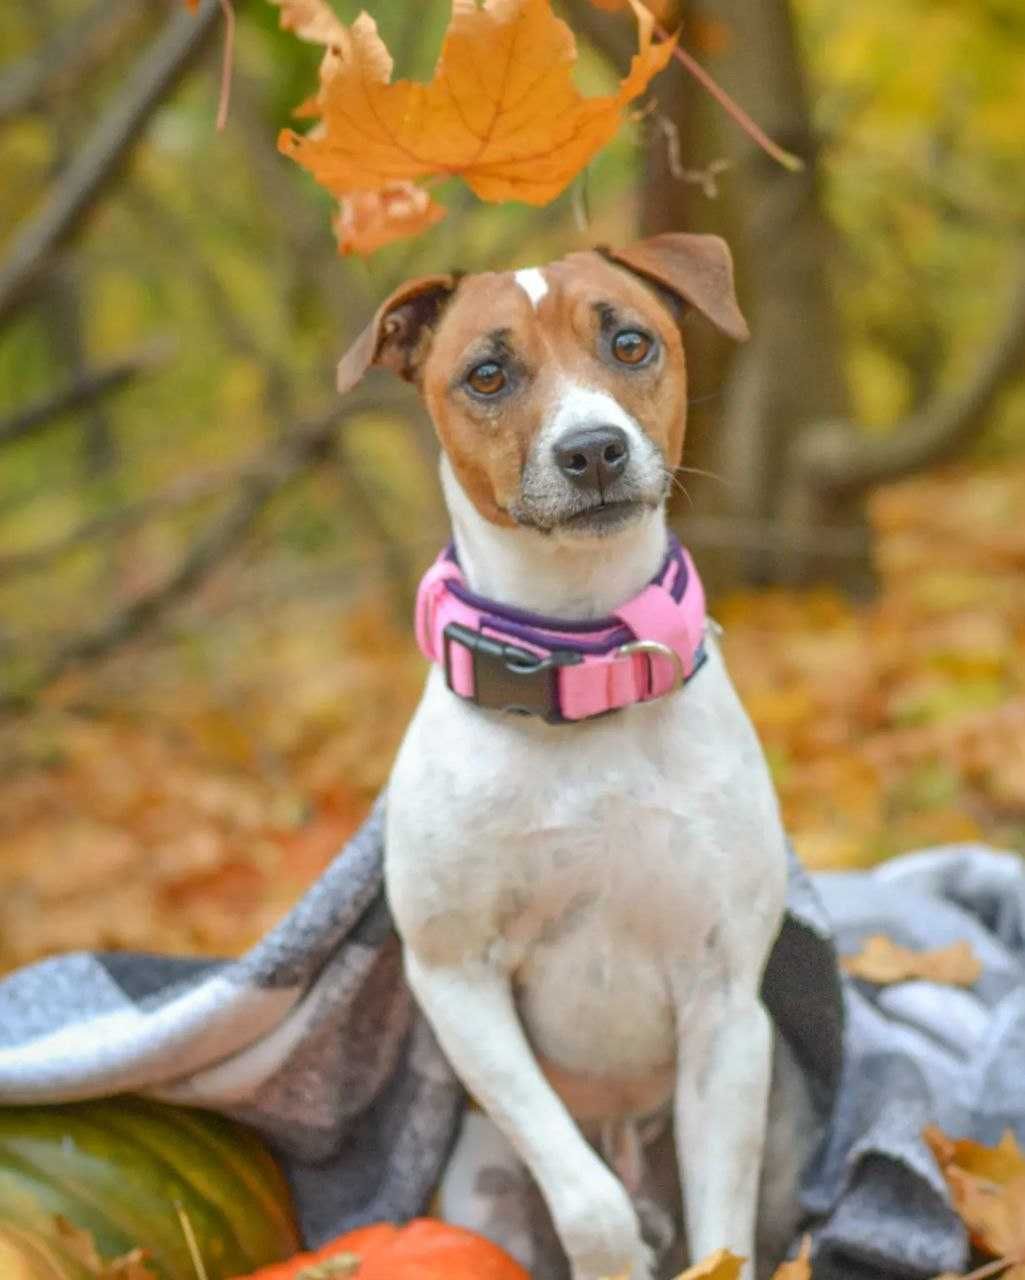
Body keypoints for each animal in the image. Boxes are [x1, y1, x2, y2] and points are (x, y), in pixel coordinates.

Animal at [335, 238, 813, 1280]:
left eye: (630, 342)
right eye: (486, 374)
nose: (591, 449)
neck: (583, 670)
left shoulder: (725, 1004)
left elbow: (721, 1240)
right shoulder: (456, 982)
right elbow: (590, 1208)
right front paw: (615, 1247)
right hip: (481, 1179)